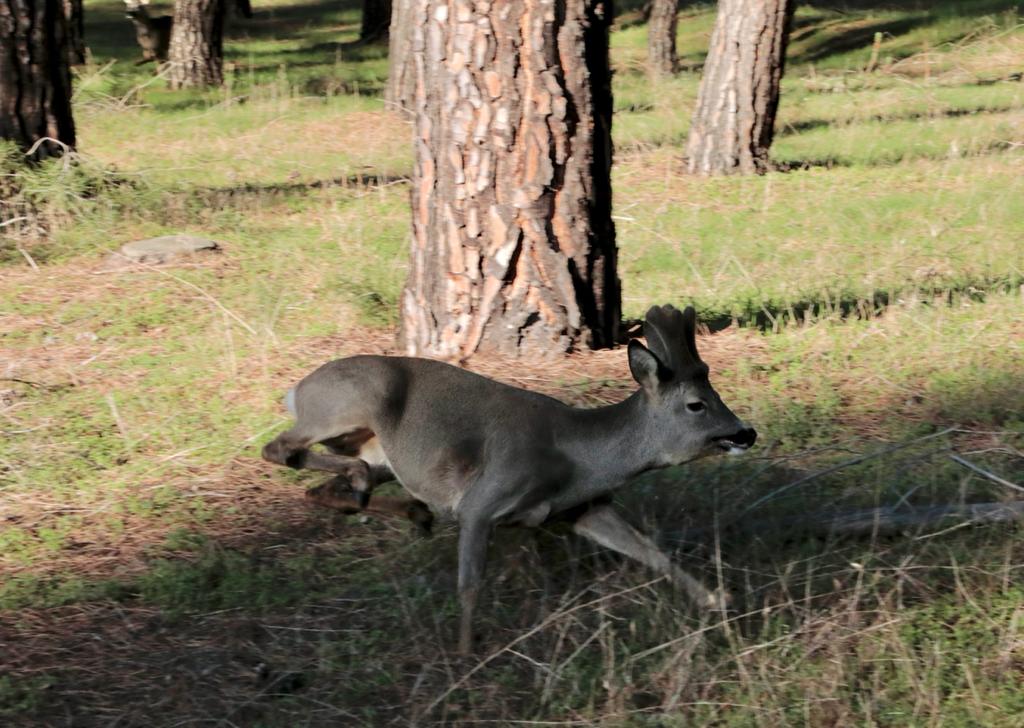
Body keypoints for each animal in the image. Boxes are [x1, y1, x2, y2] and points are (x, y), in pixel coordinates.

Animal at [262, 303, 761, 655]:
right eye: (697, 404)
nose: (746, 432)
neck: (575, 458)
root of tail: (296, 390)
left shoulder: (581, 508)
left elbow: (652, 553)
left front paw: (719, 601)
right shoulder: (482, 500)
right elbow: (469, 584)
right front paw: (465, 656)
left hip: (372, 447)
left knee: (316, 487)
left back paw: (407, 508)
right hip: (345, 406)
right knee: (280, 449)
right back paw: (368, 482)